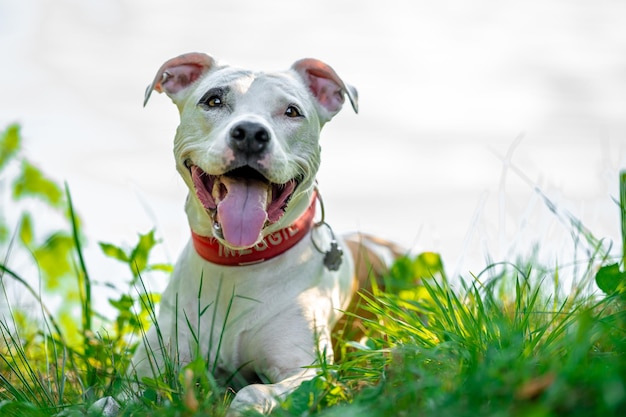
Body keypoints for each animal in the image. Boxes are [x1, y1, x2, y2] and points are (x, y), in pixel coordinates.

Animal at [133, 53, 400, 414]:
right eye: (213, 100)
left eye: (292, 111)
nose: (249, 132)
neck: (237, 265)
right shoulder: (154, 360)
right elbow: (113, 398)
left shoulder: (306, 369)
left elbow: (253, 392)